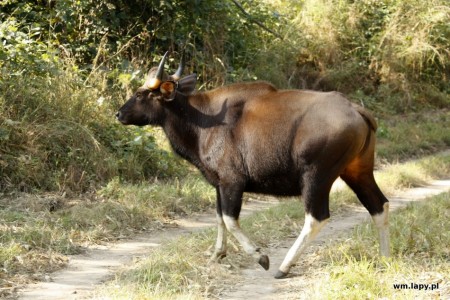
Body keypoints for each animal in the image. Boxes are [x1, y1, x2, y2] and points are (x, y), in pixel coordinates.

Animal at [117, 52, 390, 278]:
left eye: (140, 94)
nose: (119, 114)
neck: (202, 122)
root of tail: (356, 110)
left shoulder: (232, 181)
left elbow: (229, 219)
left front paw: (260, 256)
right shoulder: (219, 184)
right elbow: (219, 217)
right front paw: (217, 255)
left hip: (317, 176)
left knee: (317, 217)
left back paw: (283, 267)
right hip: (357, 171)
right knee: (379, 205)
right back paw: (385, 258)